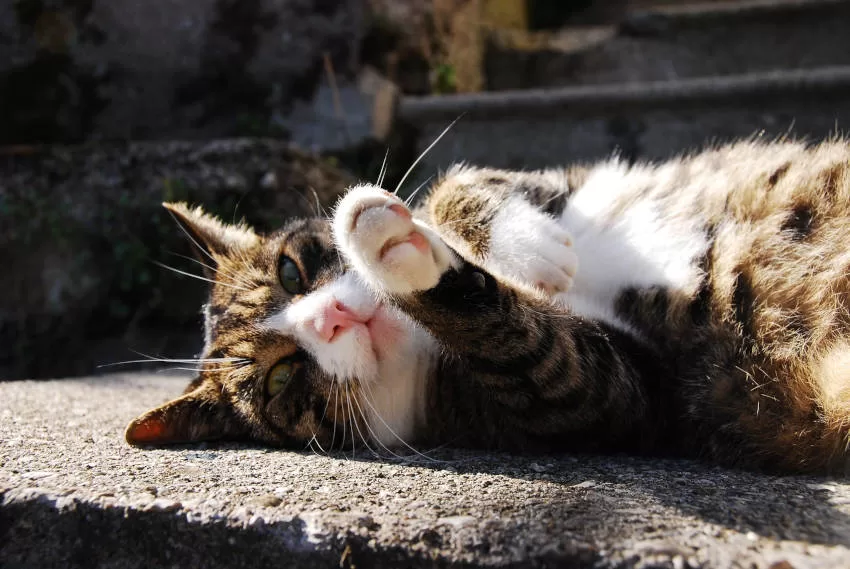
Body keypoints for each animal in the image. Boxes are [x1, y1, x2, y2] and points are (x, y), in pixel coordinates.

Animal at [124, 139, 848, 474]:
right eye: (279, 380)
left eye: (290, 271)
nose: (331, 317)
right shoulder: (613, 388)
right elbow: (522, 340)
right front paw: (393, 251)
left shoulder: (555, 183)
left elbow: (464, 181)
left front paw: (525, 247)